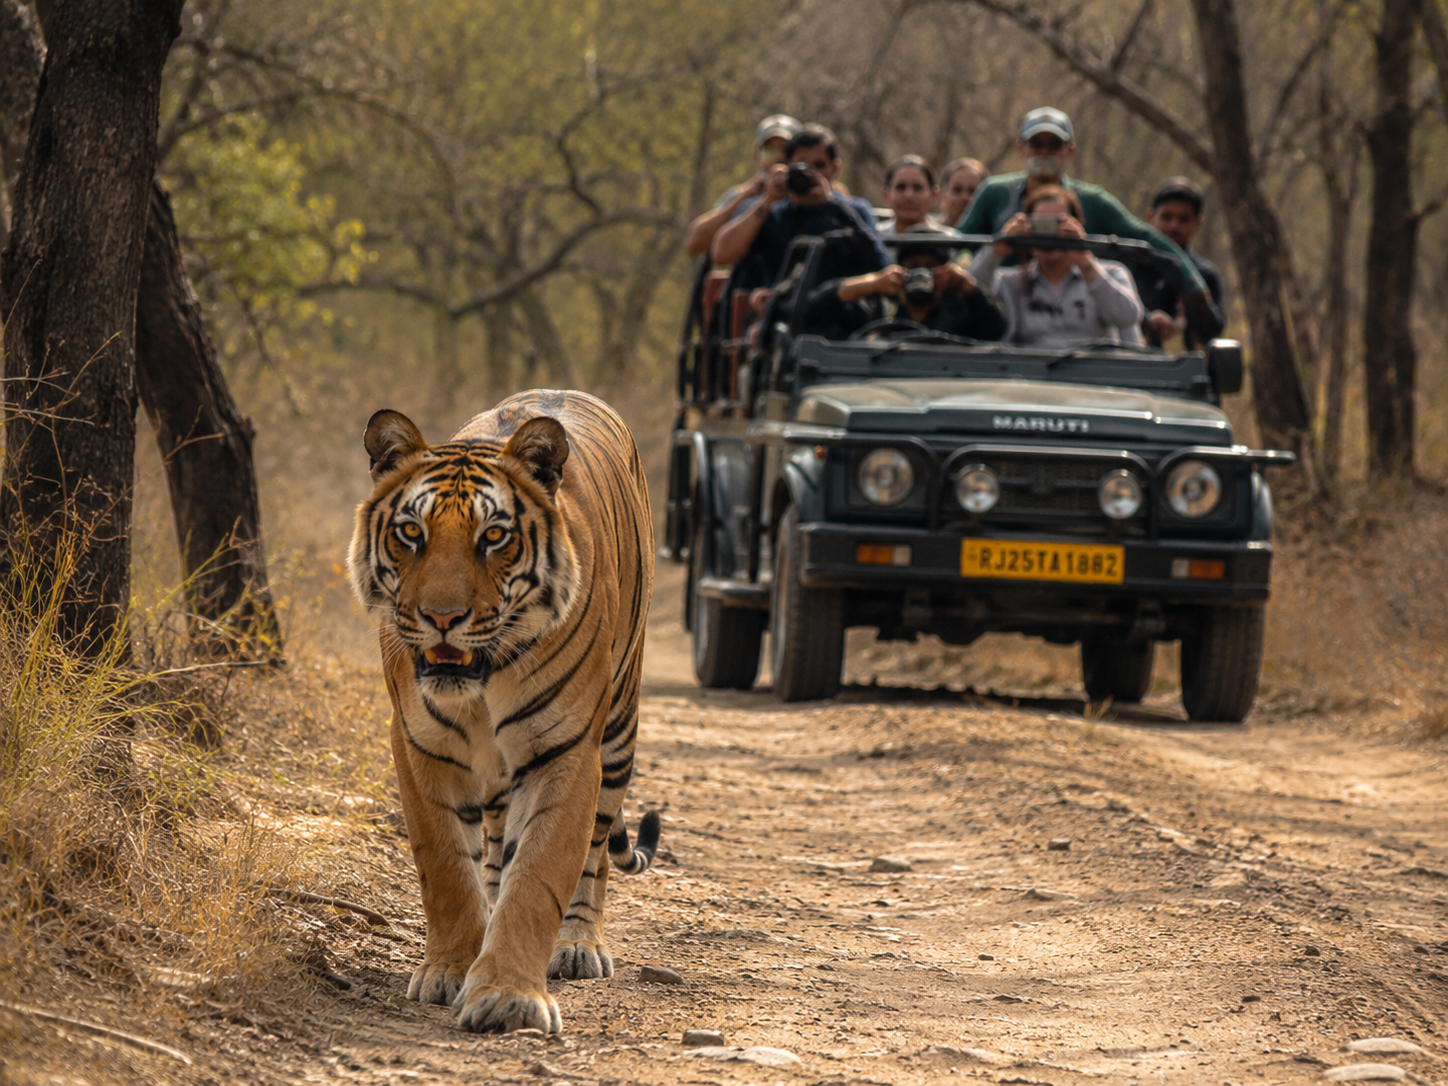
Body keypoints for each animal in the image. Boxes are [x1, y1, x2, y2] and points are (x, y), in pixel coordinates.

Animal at [348, 389, 658, 1035]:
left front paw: (509, 996)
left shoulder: (565, 752)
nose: (442, 617)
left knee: (596, 854)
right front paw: (449, 970)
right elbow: (446, 866)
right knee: (492, 843)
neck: (482, 683)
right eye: (410, 532)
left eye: (494, 537)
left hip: (618, 731)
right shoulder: (421, 746)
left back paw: (579, 945)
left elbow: (539, 875)